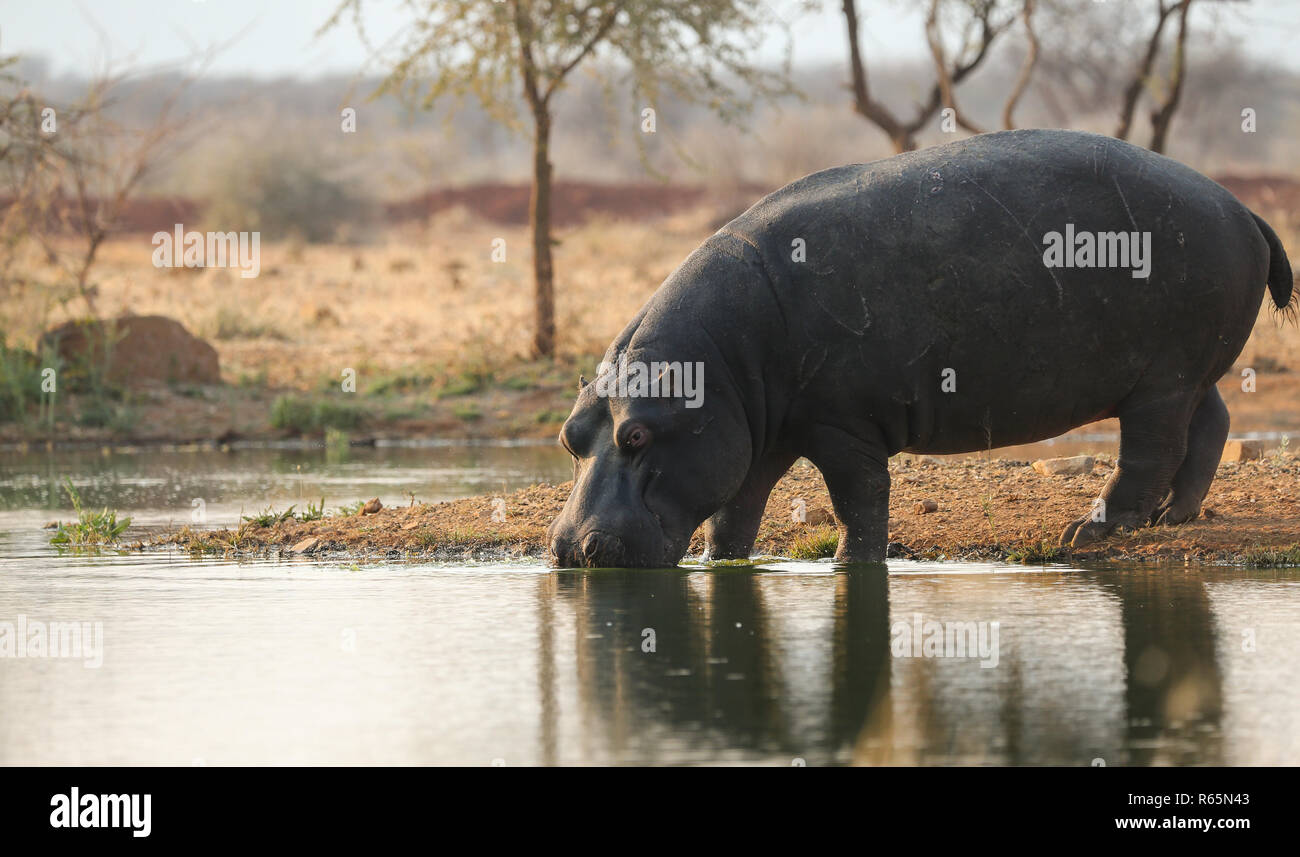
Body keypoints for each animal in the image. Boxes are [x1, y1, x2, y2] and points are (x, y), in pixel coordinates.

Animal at [546, 129, 1289, 569]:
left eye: (637, 435)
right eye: (568, 436)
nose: (570, 548)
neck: (717, 365)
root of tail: (1242, 207)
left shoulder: (840, 425)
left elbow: (859, 496)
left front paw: (852, 564)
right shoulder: (756, 433)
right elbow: (735, 506)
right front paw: (722, 564)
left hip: (1160, 378)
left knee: (1152, 449)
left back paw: (1094, 531)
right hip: (1184, 371)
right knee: (1212, 421)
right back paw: (1175, 515)